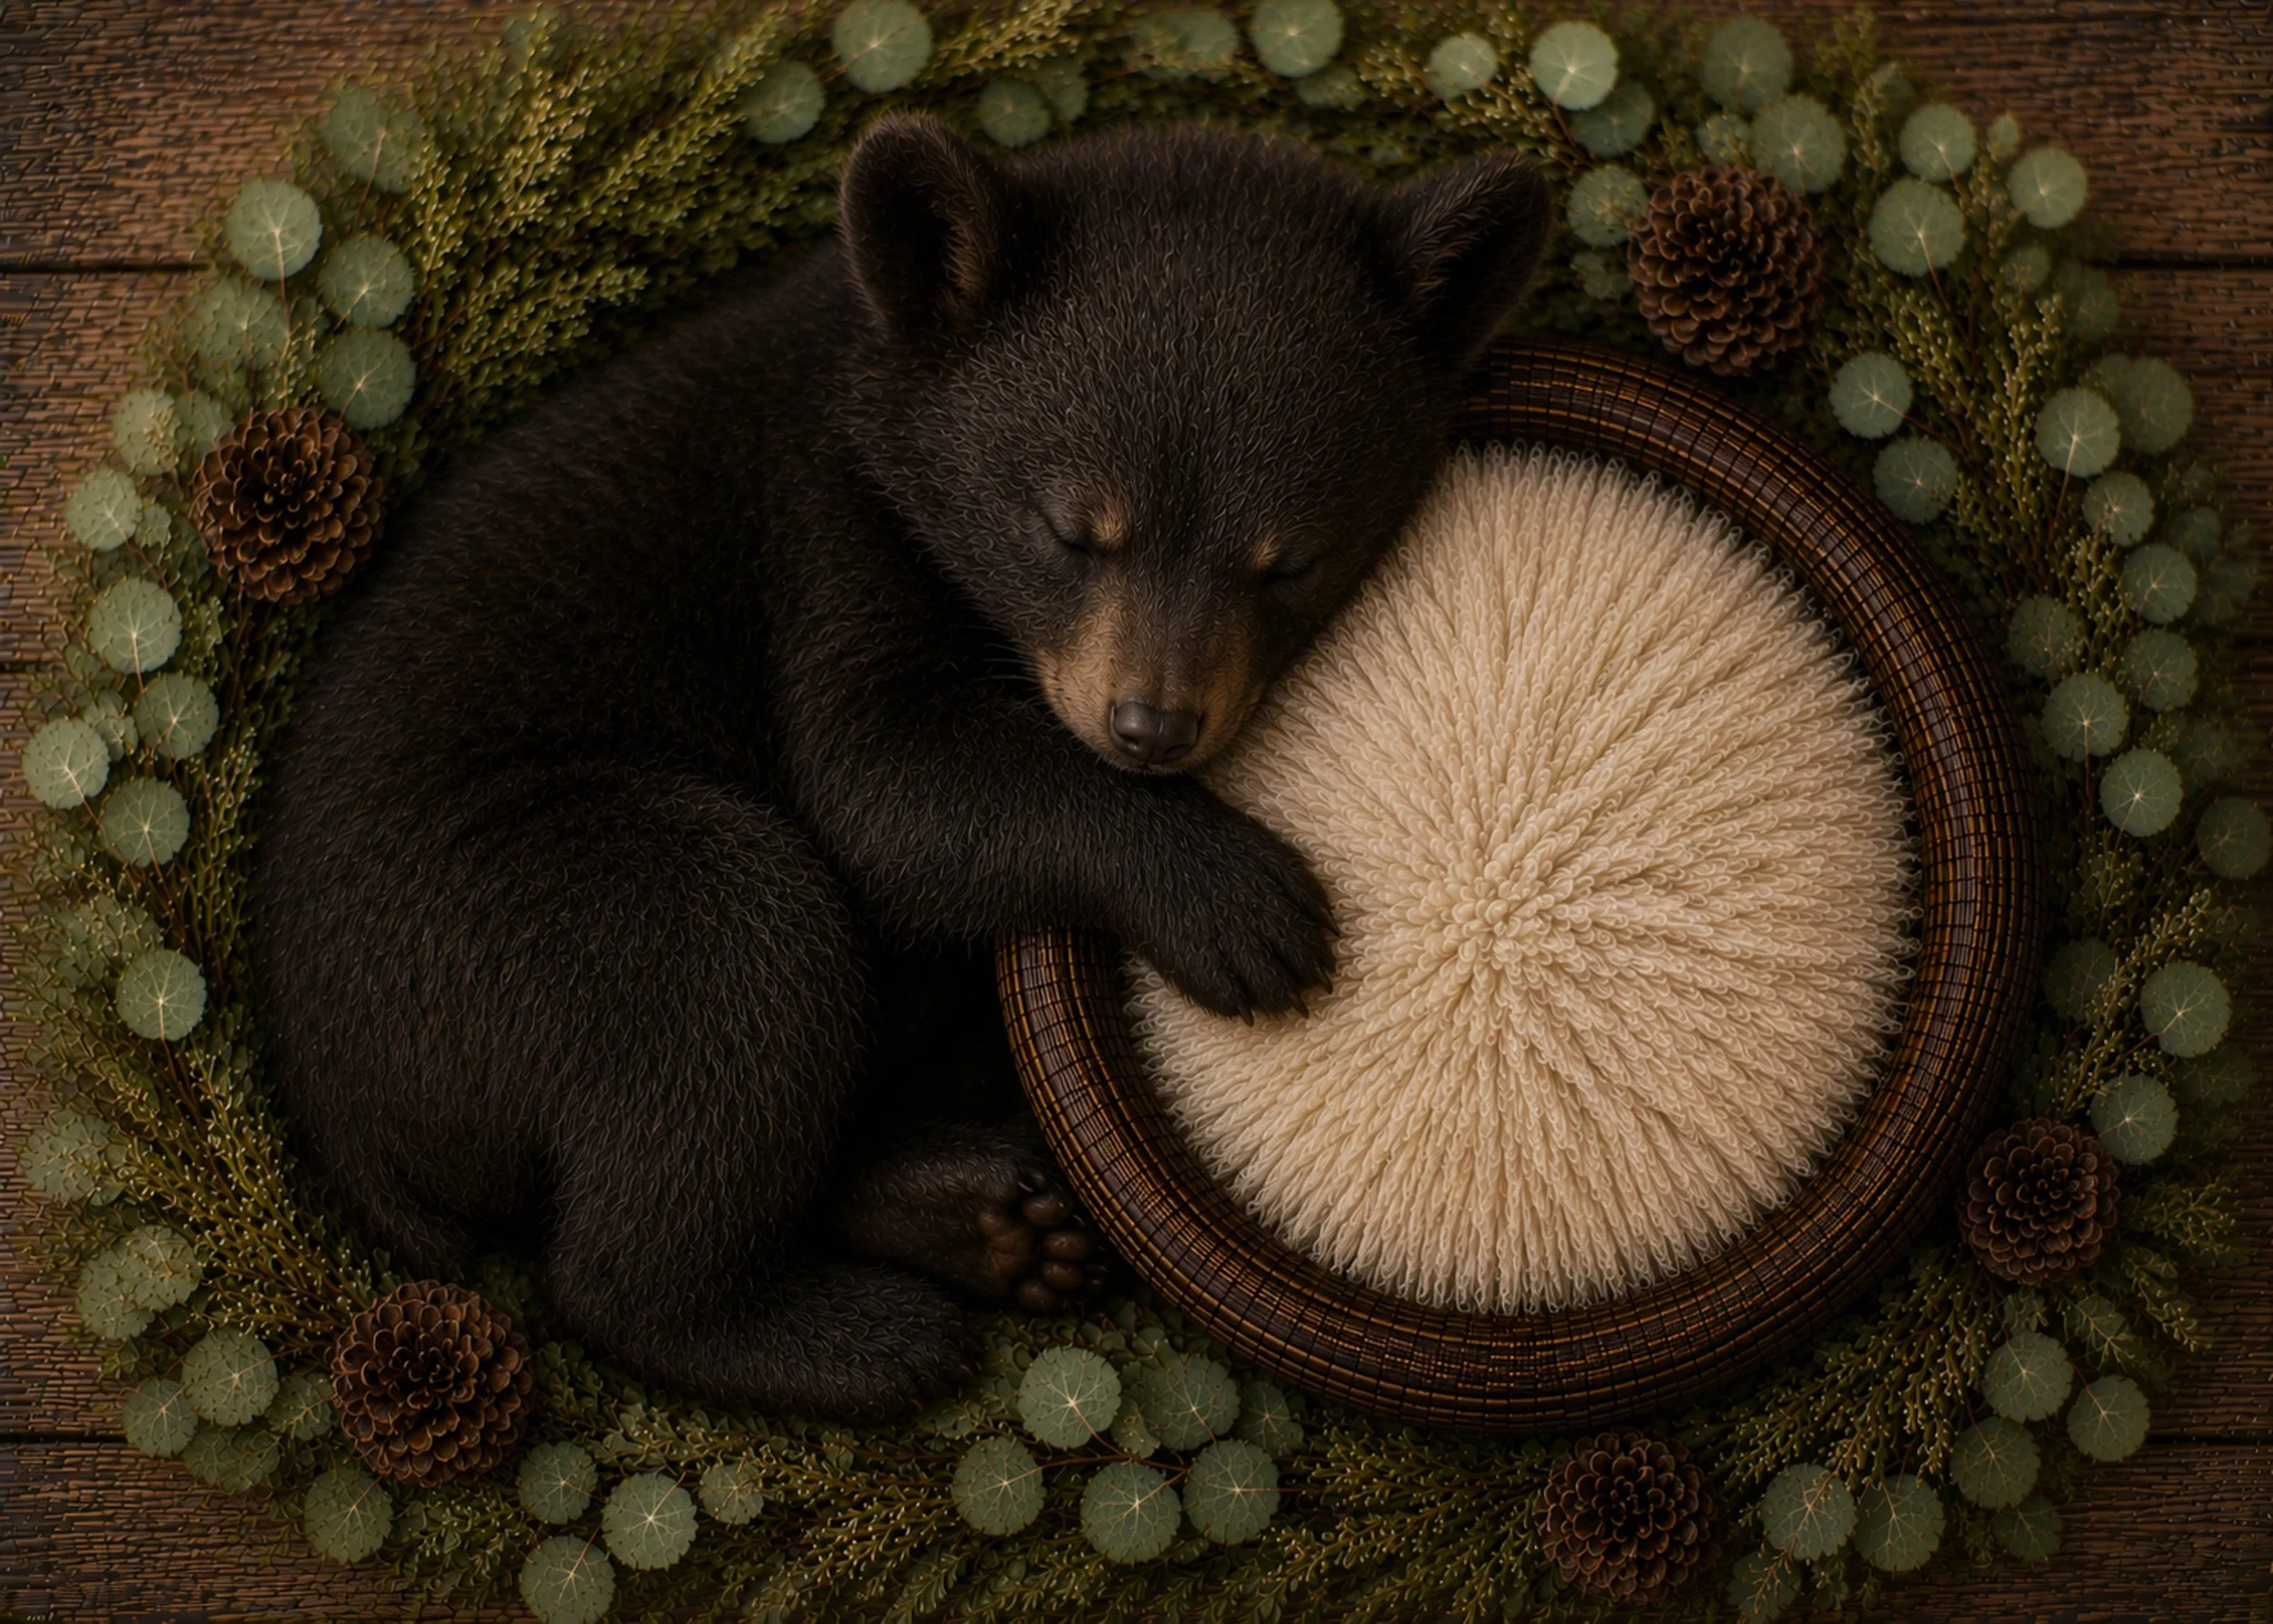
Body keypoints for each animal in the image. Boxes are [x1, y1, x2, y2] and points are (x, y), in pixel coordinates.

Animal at [252, 114, 1550, 1420]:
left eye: (1290, 560)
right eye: (1071, 528)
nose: (1151, 723)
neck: (879, 425)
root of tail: (341, 1116)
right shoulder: (824, 540)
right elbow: (885, 790)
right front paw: (1245, 907)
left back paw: (985, 1222)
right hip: (497, 920)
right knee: (723, 956)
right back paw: (857, 1334)